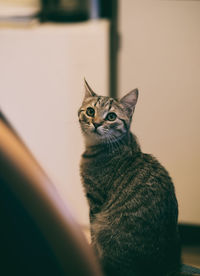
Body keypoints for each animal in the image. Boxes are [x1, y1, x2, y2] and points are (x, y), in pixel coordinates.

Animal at [78, 80, 181, 276]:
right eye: (90, 111)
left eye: (111, 116)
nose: (96, 123)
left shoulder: (95, 200)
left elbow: (93, 233)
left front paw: (90, 251)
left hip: (107, 230)